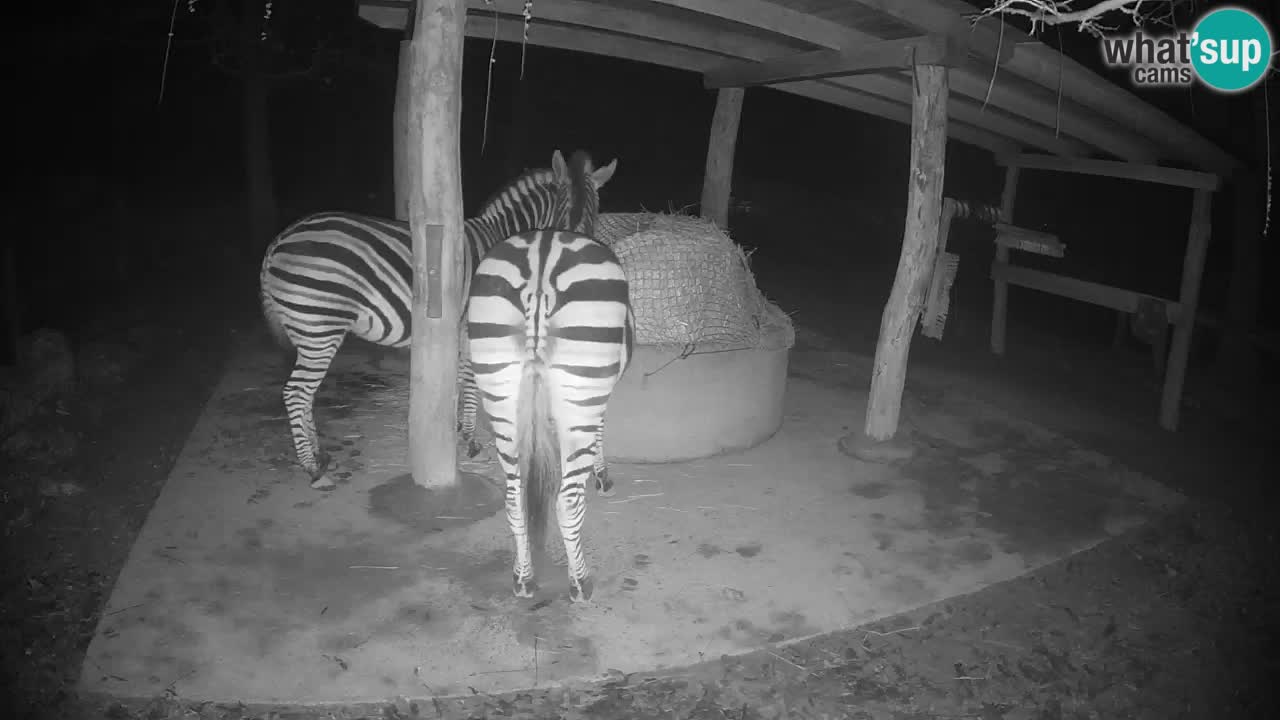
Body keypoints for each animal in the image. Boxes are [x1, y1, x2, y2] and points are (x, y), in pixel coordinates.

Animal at [259, 149, 617, 488]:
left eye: (594, 214)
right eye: (562, 213)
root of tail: (279, 239)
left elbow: (462, 378)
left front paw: (460, 429)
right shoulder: (477, 326)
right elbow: (472, 381)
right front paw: (470, 440)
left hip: (309, 331)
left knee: (305, 393)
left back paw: (319, 455)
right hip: (319, 328)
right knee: (295, 393)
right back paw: (312, 469)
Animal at [466, 228, 635, 603]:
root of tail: (542, 260)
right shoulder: (597, 392)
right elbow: (599, 432)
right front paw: (602, 476)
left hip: (499, 390)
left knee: (514, 498)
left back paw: (523, 579)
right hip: (582, 389)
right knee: (567, 503)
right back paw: (581, 584)